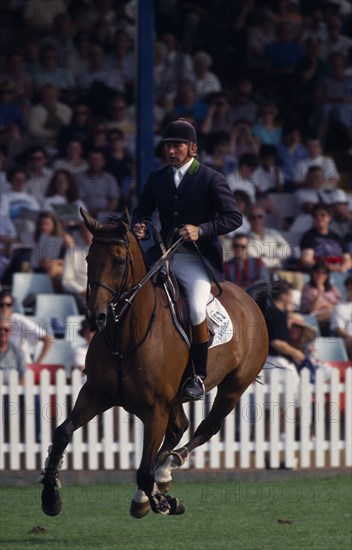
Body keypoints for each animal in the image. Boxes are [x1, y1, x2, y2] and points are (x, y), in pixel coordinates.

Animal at [39, 209, 270, 520]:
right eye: (88, 259)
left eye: (119, 261)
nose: (96, 317)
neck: (124, 336)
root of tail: (249, 298)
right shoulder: (96, 393)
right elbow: (62, 432)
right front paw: (50, 496)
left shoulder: (155, 409)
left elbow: (144, 470)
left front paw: (161, 501)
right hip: (175, 398)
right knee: (179, 427)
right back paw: (160, 479)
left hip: (234, 385)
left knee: (206, 427)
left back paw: (166, 470)